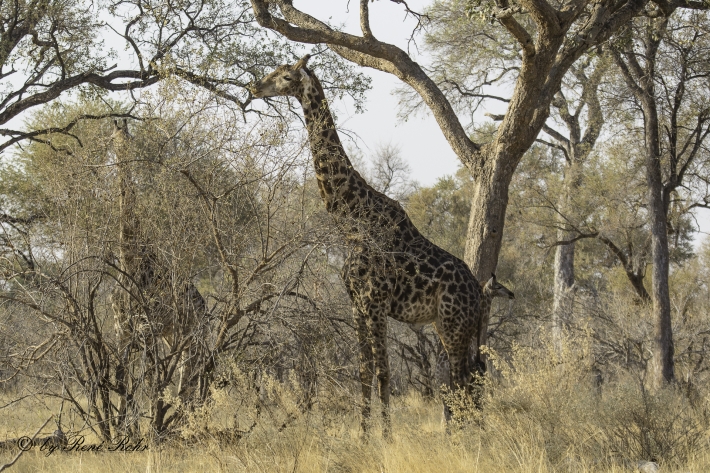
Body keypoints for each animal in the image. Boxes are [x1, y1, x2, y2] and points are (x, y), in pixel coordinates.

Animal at [251, 55, 511, 434]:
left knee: (464, 374)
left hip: (453, 324)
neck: (352, 223)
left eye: (285, 76)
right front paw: (362, 435)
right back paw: (467, 429)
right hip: (449, 324)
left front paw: (386, 436)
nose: (255, 87)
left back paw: (464, 433)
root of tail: (478, 293)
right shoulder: (357, 304)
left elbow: (383, 371)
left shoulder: (375, 303)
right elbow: (363, 371)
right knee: (472, 371)